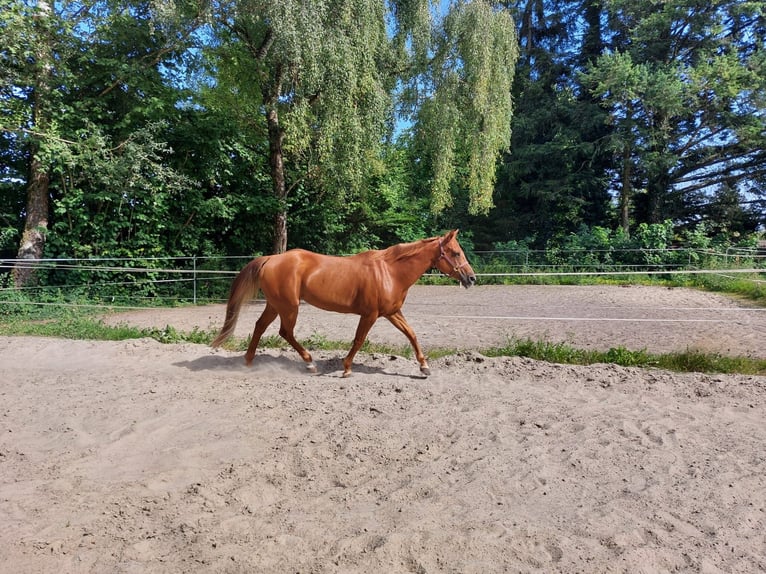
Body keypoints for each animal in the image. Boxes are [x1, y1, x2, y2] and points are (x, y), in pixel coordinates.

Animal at [211, 229, 476, 377]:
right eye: (455, 253)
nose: (471, 278)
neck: (390, 272)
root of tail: (270, 259)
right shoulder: (370, 314)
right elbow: (359, 340)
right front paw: (347, 368)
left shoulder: (392, 312)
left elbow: (411, 334)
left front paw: (424, 367)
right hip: (289, 307)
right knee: (285, 332)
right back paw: (310, 364)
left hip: (276, 305)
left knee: (260, 327)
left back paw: (248, 362)